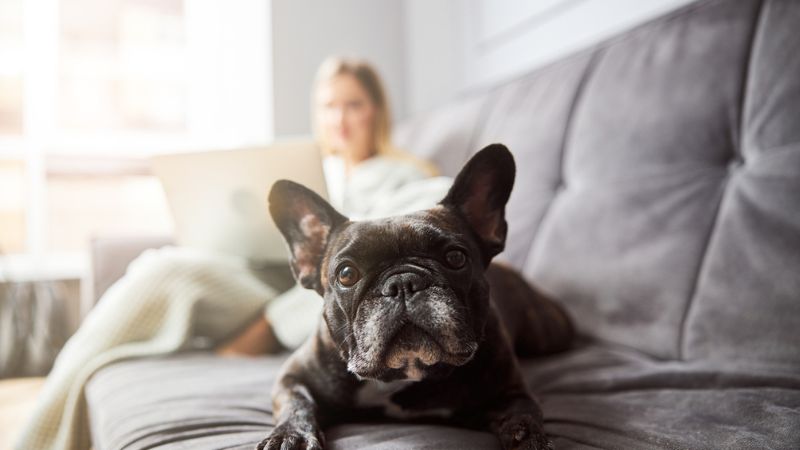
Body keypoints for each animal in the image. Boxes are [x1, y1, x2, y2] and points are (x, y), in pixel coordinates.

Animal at [260, 145, 576, 450]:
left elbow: (523, 417)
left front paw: (532, 441)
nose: (403, 283)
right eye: (346, 274)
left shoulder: (510, 392)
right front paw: (292, 436)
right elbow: (296, 403)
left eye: (455, 258)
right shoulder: (293, 377)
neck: (402, 375)